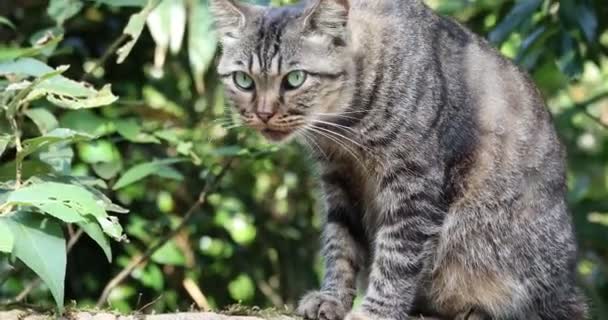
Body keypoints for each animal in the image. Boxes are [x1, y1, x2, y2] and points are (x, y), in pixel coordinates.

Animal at [210, 0, 588, 320]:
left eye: (295, 78)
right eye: (243, 80)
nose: (263, 114)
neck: (343, 127)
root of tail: (568, 289)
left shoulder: (413, 184)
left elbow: (397, 256)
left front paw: (375, 311)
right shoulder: (339, 181)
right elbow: (339, 244)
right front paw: (332, 298)